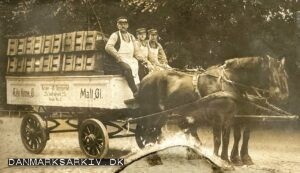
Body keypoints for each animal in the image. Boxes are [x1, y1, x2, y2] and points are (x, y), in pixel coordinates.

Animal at [135, 56, 288, 165]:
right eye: (274, 73)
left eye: (284, 75)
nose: (283, 95)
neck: (228, 83)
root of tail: (144, 79)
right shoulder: (219, 117)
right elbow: (219, 139)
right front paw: (221, 158)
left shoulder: (233, 117)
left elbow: (231, 137)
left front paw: (229, 158)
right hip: (153, 114)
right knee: (149, 134)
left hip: (162, 115)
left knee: (155, 133)